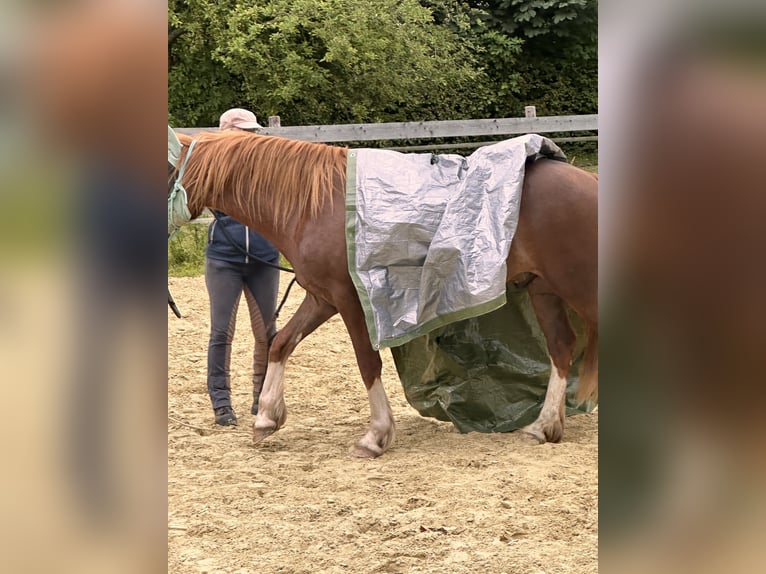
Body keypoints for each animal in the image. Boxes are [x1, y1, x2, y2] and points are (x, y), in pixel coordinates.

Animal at [170, 130, 600, 460]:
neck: (312, 207)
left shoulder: (349, 301)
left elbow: (367, 363)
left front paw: (376, 435)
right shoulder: (321, 298)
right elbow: (280, 343)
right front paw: (266, 418)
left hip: (580, 289)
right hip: (544, 290)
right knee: (561, 347)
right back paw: (545, 425)